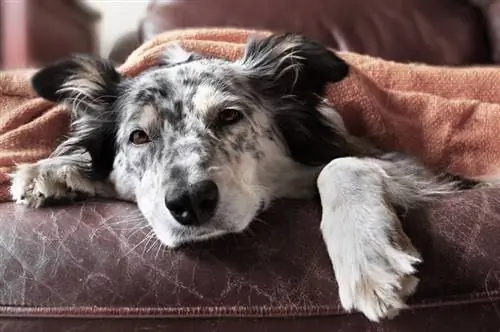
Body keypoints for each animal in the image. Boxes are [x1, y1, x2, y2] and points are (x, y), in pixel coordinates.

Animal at [7, 34, 478, 322]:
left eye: (230, 116)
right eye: (138, 137)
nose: (190, 202)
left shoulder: (413, 167)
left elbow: (341, 165)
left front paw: (368, 259)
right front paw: (51, 170)